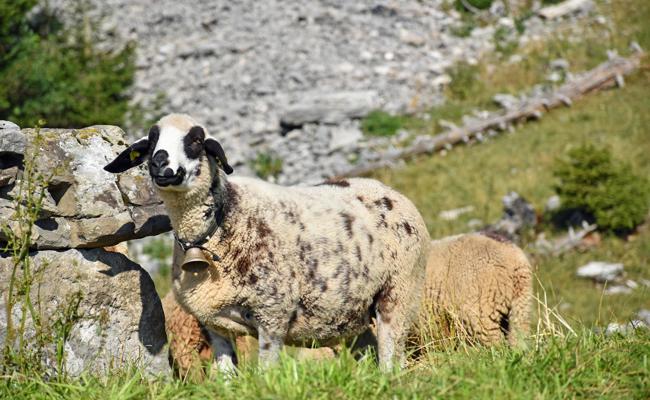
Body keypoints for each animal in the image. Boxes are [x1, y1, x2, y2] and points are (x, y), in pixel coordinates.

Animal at [104, 113, 430, 372]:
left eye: (195, 140)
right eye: (152, 141)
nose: (160, 163)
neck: (219, 224)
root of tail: (389, 191)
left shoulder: (272, 315)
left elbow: (265, 373)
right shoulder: (213, 324)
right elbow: (226, 375)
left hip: (399, 293)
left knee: (391, 357)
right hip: (351, 312)